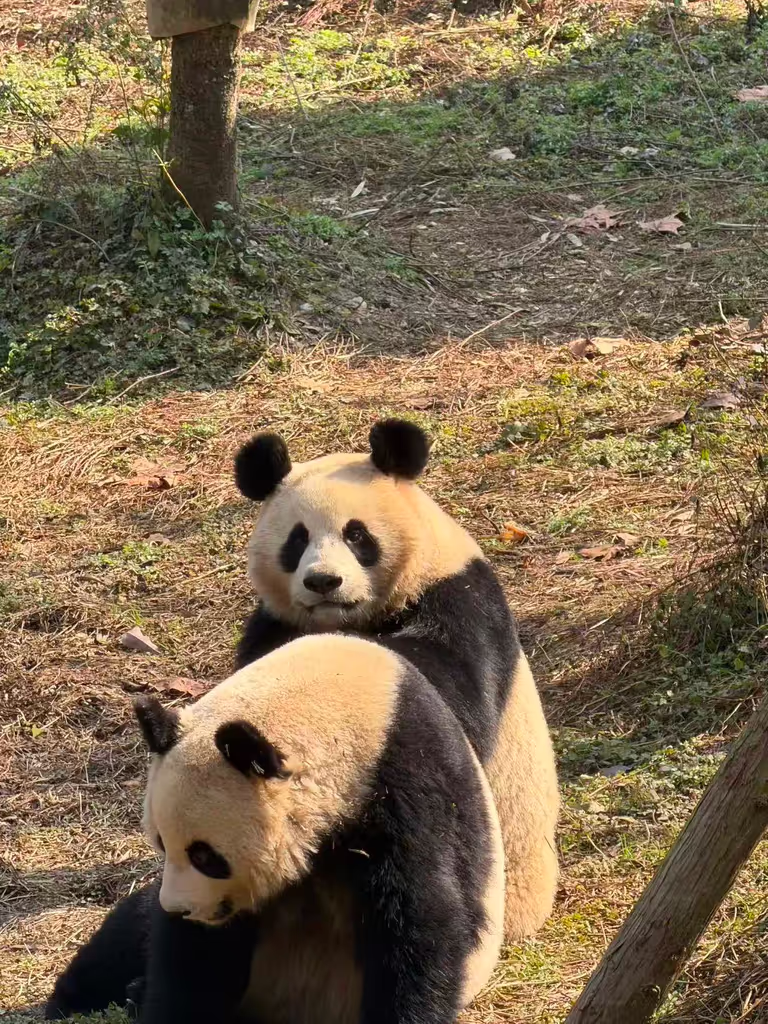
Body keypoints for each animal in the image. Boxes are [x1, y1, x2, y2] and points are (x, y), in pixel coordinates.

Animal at [46, 634, 504, 1024]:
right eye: (160, 843)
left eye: (205, 856)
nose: (179, 909)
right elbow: (194, 957)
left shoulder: (407, 791)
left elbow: (420, 924)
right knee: (130, 926)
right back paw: (88, 996)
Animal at [233, 418, 559, 942]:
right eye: (297, 540)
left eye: (357, 535)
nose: (323, 582)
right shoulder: (273, 627)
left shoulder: (463, 598)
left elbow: (454, 695)